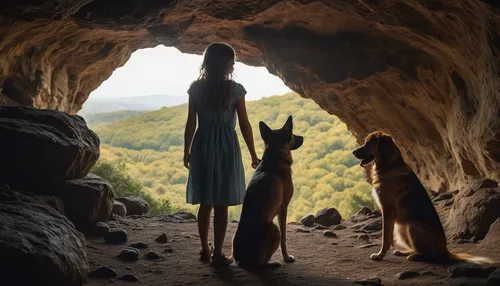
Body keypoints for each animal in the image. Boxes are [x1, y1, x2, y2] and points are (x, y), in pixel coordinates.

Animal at [231, 115, 302, 268]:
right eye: (292, 134)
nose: (303, 137)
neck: (274, 157)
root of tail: (242, 260)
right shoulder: (283, 208)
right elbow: (284, 238)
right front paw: (287, 257)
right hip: (274, 228)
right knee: (262, 262)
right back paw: (273, 263)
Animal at [352, 131, 492, 264]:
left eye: (368, 143)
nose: (353, 152)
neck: (391, 165)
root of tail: (445, 249)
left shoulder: (387, 208)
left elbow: (385, 237)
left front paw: (380, 255)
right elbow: (387, 236)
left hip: (413, 226)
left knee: (431, 254)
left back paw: (415, 256)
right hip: (401, 228)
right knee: (418, 248)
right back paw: (405, 252)